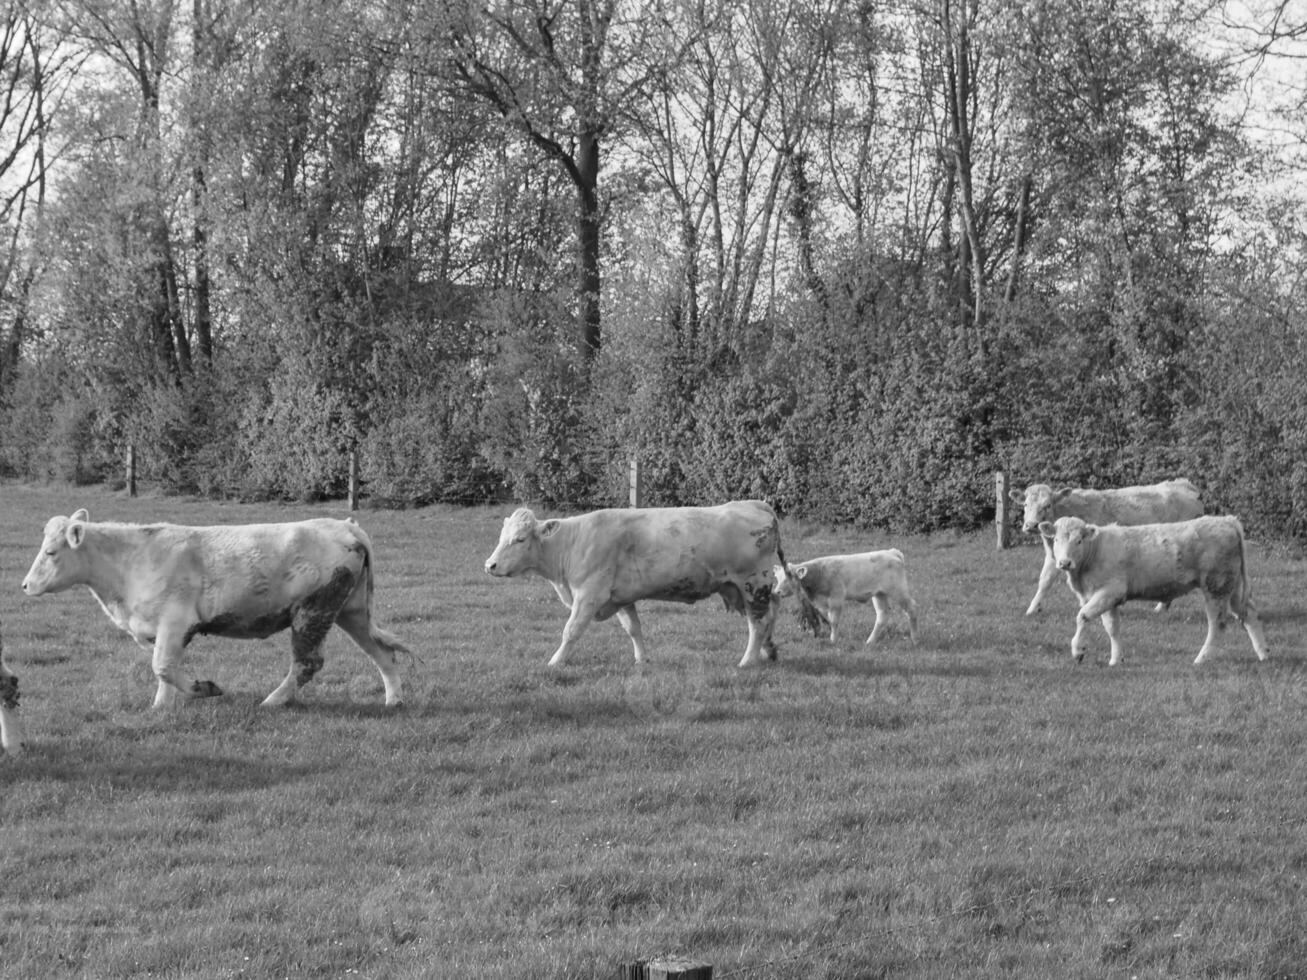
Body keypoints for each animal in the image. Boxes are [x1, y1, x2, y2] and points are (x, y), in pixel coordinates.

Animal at [21, 509, 407, 710]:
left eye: (51, 552)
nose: (25, 585)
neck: (132, 562)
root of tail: (346, 526)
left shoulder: (176, 622)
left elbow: (162, 666)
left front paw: (204, 688)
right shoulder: (161, 631)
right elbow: (164, 669)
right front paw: (160, 707)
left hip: (313, 612)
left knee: (307, 663)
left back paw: (272, 701)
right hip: (350, 611)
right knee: (381, 653)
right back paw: (394, 701)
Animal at [483, 501, 778, 674]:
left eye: (520, 539)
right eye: (501, 536)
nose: (490, 565)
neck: (571, 543)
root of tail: (754, 503)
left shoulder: (590, 594)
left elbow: (571, 631)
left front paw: (555, 661)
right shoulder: (621, 598)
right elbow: (634, 629)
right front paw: (641, 660)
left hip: (753, 584)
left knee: (758, 623)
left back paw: (747, 661)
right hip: (740, 589)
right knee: (767, 620)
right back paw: (767, 653)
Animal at [773, 554, 920, 653]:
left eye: (789, 577)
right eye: (778, 578)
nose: (777, 591)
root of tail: (892, 552)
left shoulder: (836, 599)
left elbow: (834, 622)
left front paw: (833, 641)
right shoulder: (823, 604)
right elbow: (827, 619)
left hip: (898, 590)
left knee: (912, 608)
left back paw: (915, 639)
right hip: (879, 594)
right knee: (882, 615)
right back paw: (870, 641)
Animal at [1009, 480, 1202, 616]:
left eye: (1047, 505)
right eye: (1025, 505)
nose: (1031, 525)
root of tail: (1183, 484)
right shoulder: (1054, 556)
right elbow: (1044, 581)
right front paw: (1032, 609)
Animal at [1035, 514, 1270, 669]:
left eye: (1079, 540)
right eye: (1056, 540)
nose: (1064, 562)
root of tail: (1227, 520)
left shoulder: (1110, 591)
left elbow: (1082, 616)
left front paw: (1078, 651)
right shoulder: (1106, 598)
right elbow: (1112, 628)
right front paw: (1116, 659)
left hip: (1216, 587)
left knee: (1217, 624)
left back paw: (1201, 659)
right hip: (1234, 586)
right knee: (1249, 614)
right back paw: (1263, 654)